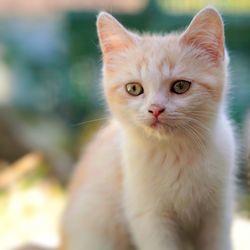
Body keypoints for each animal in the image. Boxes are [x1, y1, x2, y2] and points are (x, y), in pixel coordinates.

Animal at [60, 6, 236, 250]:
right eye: (133, 88)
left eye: (180, 86)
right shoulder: (148, 216)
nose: (155, 109)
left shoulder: (217, 213)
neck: (175, 152)